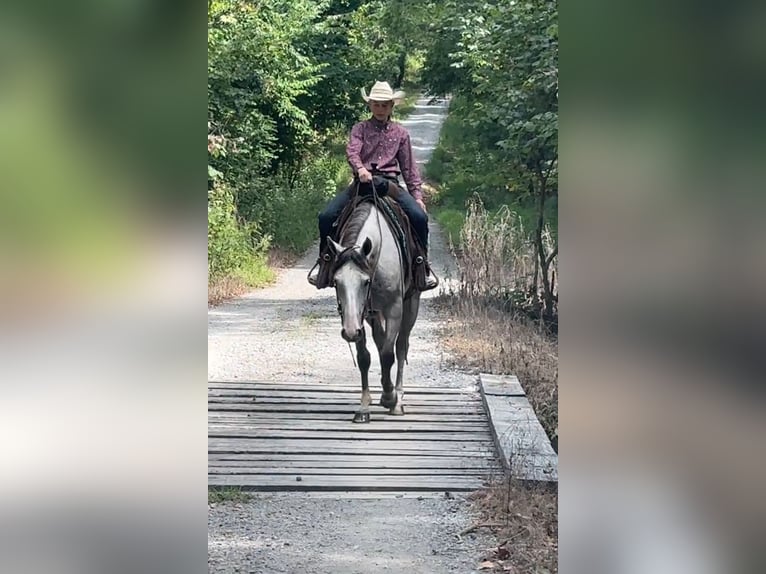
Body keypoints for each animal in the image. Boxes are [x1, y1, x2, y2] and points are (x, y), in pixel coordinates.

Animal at [326, 199, 420, 423]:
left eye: (365, 281)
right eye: (336, 282)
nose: (349, 332)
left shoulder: (395, 309)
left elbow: (388, 355)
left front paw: (390, 398)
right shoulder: (358, 318)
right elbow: (364, 358)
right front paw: (363, 407)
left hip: (411, 306)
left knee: (401, 346)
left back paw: (398, 396)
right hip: (371, 315)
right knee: (380, 340)